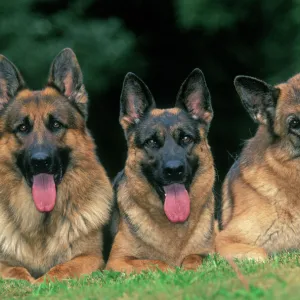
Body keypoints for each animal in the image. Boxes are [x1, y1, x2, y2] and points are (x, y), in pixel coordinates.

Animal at [0, 48, 112, 282]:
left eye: (56, 125)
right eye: (22, 128)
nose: (40, 162)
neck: (41, 221)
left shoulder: (90, 257)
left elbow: (61, 268)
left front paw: (41, 282)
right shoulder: (3, 263)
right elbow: (16, 270)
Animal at [105, 69, 216, 274]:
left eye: (186, 139)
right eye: (151, 142)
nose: (174, 170)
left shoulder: (209, 254)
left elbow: (193, 257)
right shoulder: (117, 261)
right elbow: (157, 263)